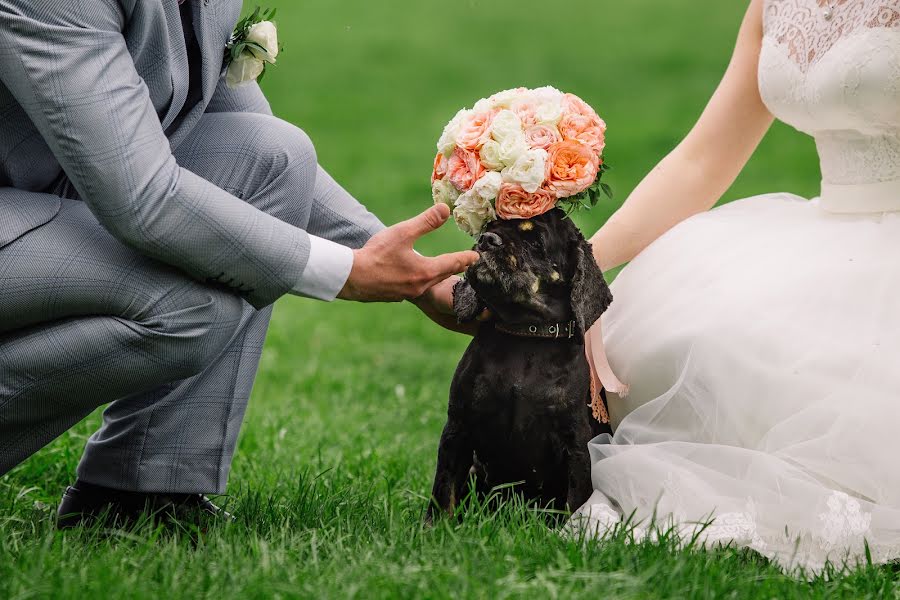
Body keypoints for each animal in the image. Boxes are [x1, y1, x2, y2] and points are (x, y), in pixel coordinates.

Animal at [428, 209, 612, 524]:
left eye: (536, 241)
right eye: (490, 226)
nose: (487, 240)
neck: (526, 334)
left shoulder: (577, 443)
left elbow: (575, 500)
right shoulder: (457, 427)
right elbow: (444, 490)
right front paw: (434, 529)